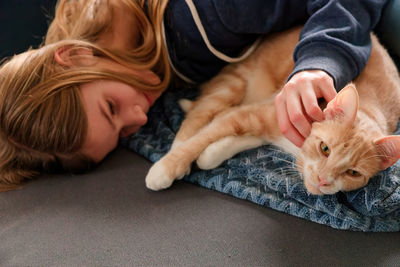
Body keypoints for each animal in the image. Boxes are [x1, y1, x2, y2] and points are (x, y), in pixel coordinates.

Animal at [145, 26, 400, 196]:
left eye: (353, 173)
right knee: (199, 113)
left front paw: (213, 152)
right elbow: (204, 136)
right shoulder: (260, 112)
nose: (322, 180)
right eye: (325, 148)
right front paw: (166, 168)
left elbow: (229, 142)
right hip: (233, 83)